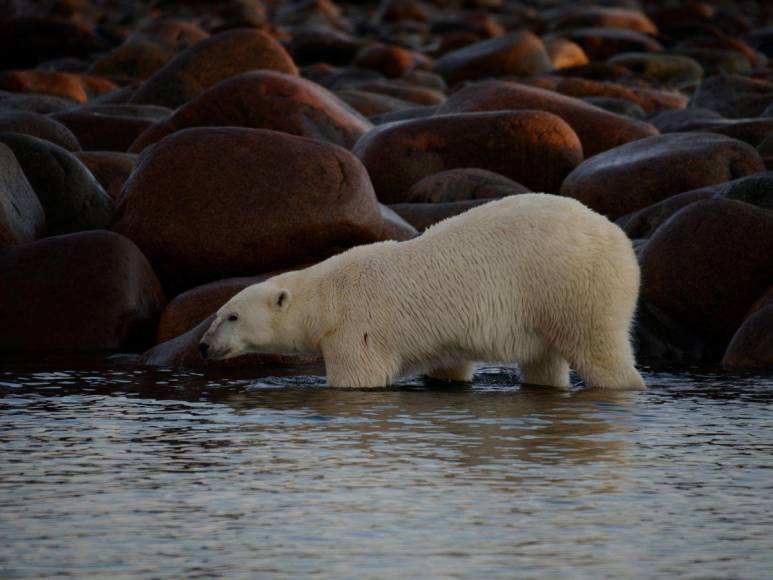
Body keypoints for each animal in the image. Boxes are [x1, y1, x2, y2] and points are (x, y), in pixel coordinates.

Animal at [199, 194, 644, 390]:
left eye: (232, 315)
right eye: (217, 313)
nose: (203, 346)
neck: (329, 298)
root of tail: (620, 239)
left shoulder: (355, 330)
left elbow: (358, 378)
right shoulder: (444, 340)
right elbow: (449, 368)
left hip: (573, 285)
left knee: (600, 350)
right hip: (543, 305)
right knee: (544, 361)